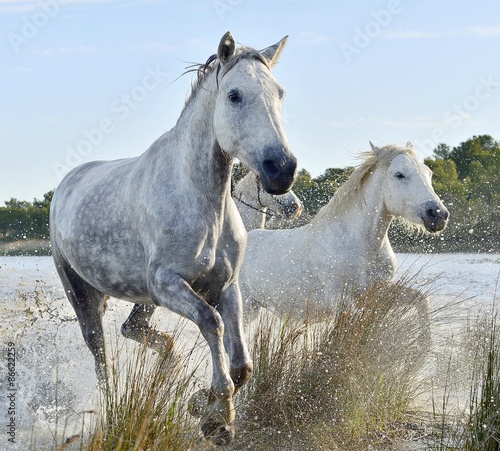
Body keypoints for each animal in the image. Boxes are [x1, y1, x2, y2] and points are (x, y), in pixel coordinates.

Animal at [49, 32, 296, 444]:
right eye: (234, 95)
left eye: (280, 93)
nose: (282, 169)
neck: (201, 202)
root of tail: (66, 185)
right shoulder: (167, 283)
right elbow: (212, 324)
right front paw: (218, 418)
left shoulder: (226, 286)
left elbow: (242, 364)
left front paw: (201, 404)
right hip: (83, 296)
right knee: (101, 358)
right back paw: (114, 406)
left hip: (140, 299)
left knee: (133, 331)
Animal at [238, 143, 450, 320]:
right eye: (399, 174)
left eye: (428, 173)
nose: (438, 214)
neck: (360, 242)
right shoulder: (342, 301)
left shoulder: (379, 293)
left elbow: (422, 300)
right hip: (247, 309)